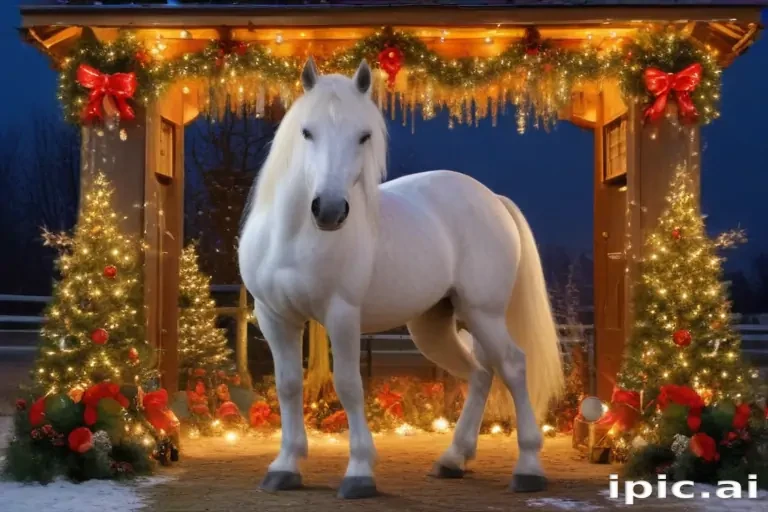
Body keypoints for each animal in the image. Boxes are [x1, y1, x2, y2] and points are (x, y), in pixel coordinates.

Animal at [238, 57, 564, 499]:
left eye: (364, 136)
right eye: (307, 131)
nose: (329, 210)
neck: (291, 237)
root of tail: (493, 199)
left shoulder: (341, 315)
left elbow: (348, 385)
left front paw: (359, 472)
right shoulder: (275, 317)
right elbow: (288, 385)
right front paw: (285, 467)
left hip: (485, 313)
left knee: (512, 366)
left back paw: (528, 467)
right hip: (435, 326)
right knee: (481, 373)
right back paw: (452, 459)